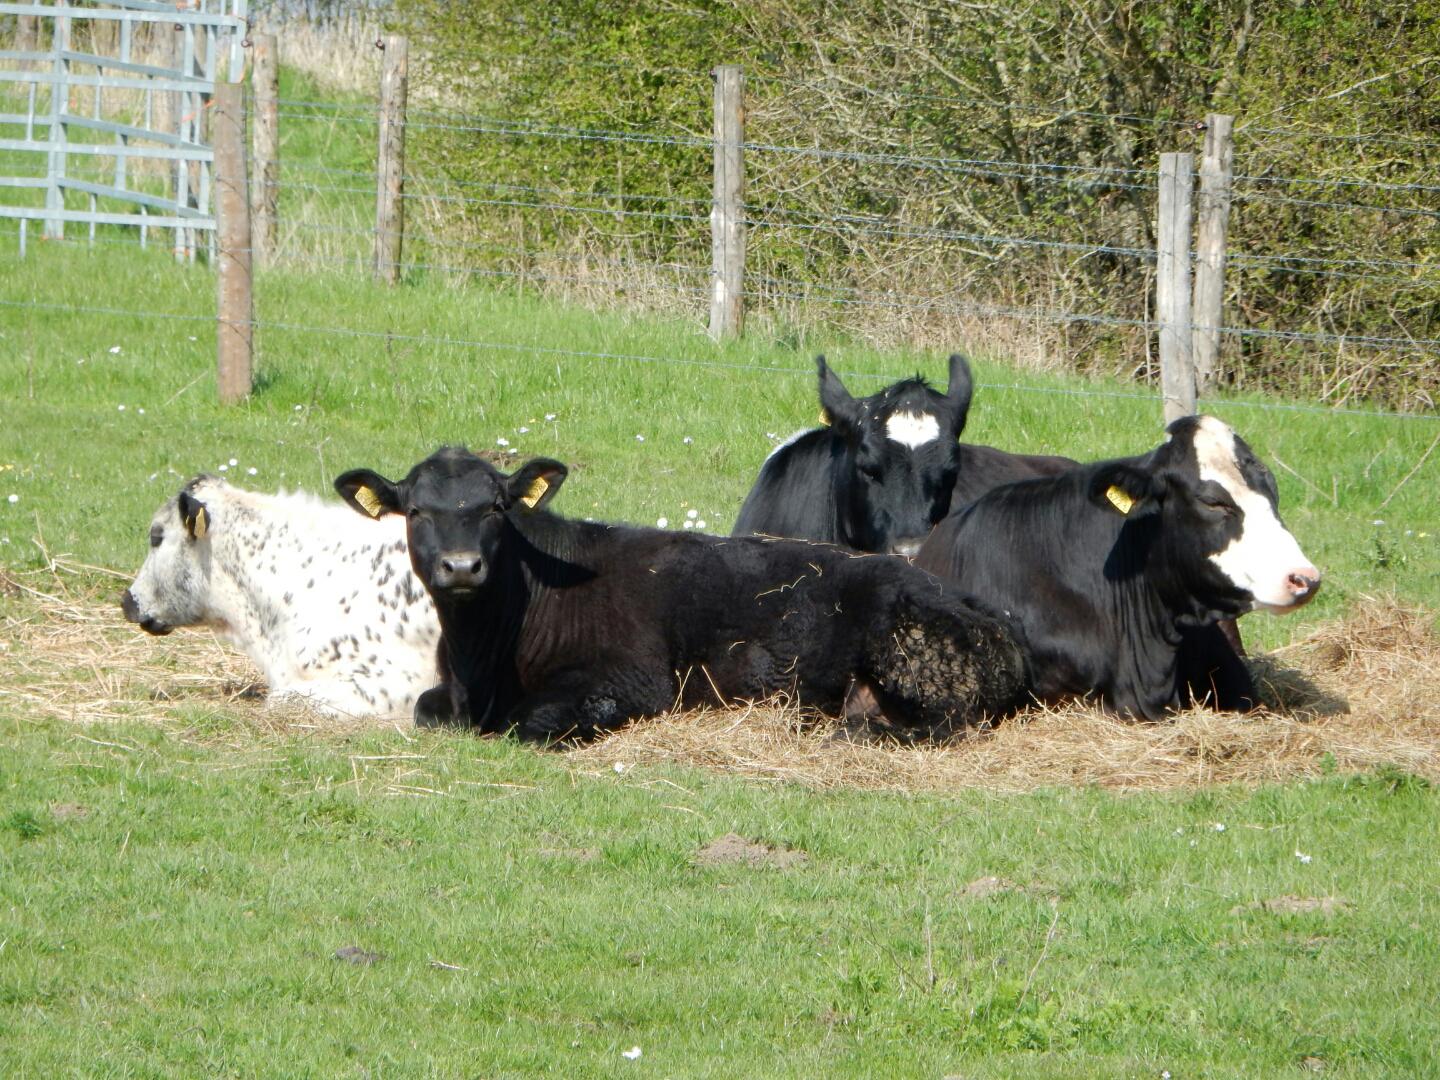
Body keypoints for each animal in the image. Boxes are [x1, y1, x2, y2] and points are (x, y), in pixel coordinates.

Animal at [334, 448, 1029, 743]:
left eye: (497, 507)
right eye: (415, 511)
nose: (460, 566)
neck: (482, 658)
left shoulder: (630, 680)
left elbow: (529, 725)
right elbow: (426, 709)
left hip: (911, 656)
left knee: (941, 727)